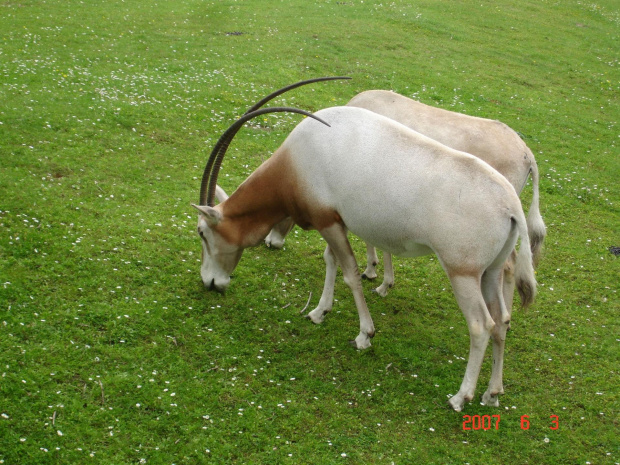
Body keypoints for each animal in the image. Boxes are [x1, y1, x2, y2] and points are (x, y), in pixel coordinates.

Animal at [195, 99, 536, 410]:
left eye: (201, 232)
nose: (209, 282)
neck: (297, 160)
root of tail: (510, 204)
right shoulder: (336, 221)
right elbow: (330, 261)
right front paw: (319, 311)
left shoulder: (327, 221)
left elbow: (350, 274)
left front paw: (364, 335)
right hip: (489, 272)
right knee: (502, 319)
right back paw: (492, 393)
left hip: (462, 273)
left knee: (481, 325)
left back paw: (460, 397)